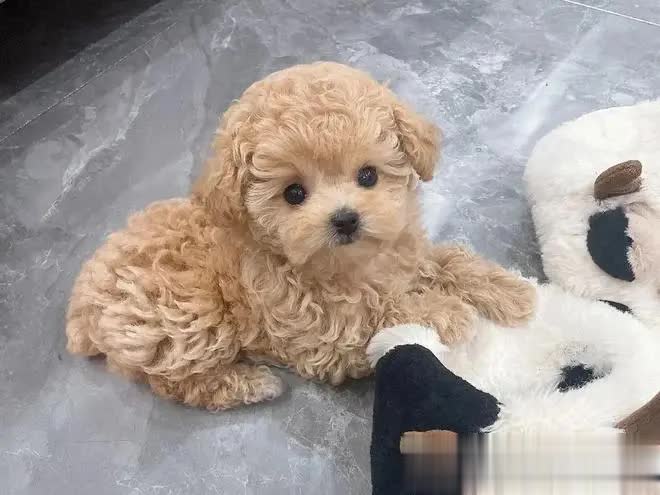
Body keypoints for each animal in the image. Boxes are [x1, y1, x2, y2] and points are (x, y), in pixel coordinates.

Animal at [66, 62, 535, 410]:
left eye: (368, 175)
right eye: (294, 193)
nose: (345, 220)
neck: (351, 264)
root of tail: (83, 302)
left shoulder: (406, 252)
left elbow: (448, 260)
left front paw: (509, 291)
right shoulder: (321, 338)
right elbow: (375, 313)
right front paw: (444, 311)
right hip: (188, 318)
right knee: (179, 382)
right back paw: (250, 384)